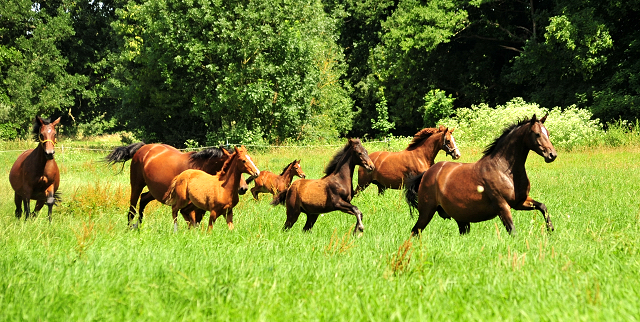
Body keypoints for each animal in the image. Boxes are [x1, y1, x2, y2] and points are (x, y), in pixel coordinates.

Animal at [104, 142, 250, 228]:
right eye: (238, 162)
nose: (243, 188)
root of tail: (143, 147)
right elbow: (191, 221)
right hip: (136, 185)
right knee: (132, 209)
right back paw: (130, 228)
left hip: (156, 191)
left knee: (144, 199)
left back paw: (139, 225)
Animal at [408, 114, 556, 235]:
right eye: (537, 134)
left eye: (547, 133)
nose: (552, 155)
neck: (504, 169)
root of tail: (427, 173)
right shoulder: (502, 206)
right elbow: (513, 231)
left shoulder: (520, 202)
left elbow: (542, 207)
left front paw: (550, 230)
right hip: (426, 212)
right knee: (415, 231)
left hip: (460, 219)